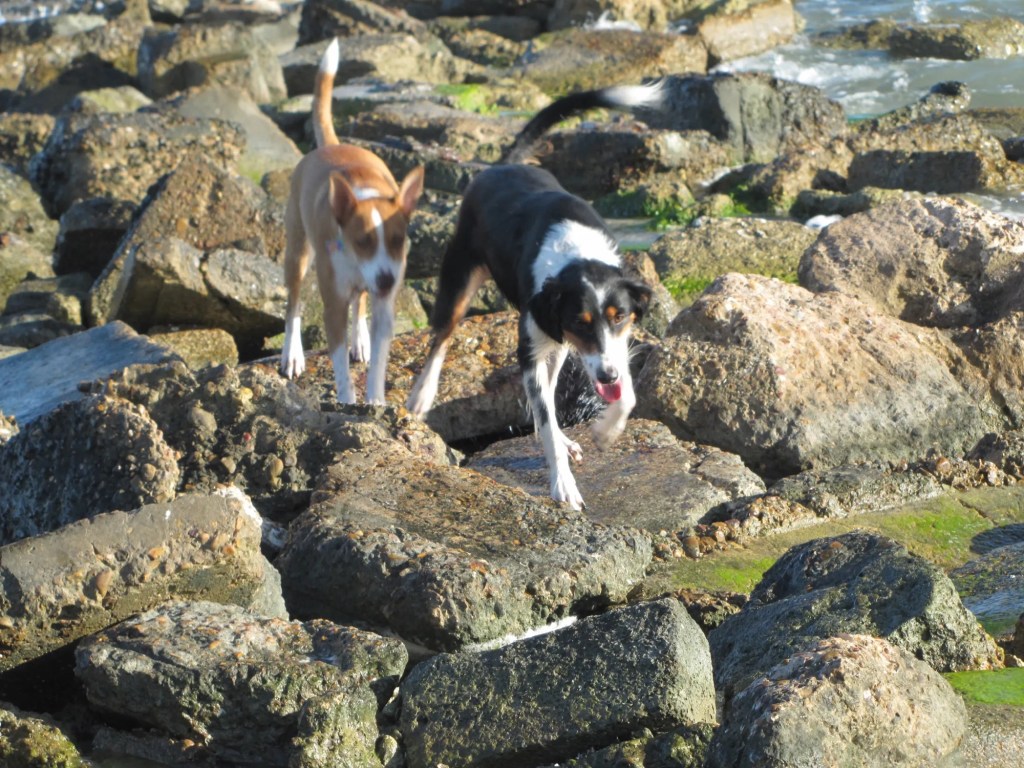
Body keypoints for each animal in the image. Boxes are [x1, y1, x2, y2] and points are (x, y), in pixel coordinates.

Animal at [281, 38, 425, 404]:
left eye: (398, 240)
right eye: (362, 241)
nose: (386, 279)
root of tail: (332, 145)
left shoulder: (385, 305)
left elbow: (379, 362)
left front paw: (375, 401)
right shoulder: (332, 307)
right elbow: (341, 370)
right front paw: (348, 403)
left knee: (359, 302)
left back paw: (360, 339)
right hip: (298, 254)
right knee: (294, 305)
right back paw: (292, 355)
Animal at [406, 82, 661, 509]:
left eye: (620, 316)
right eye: (579, 321)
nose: (607, 375)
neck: (577, 254)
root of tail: (501, 166)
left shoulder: (609, 345)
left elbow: (621, 396)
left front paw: (606, 431)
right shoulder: (532, 350)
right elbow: (542, 416)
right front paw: (564, 486)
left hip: (553, 347)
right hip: (460, 281)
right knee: (441, 339)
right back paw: (421, 395)